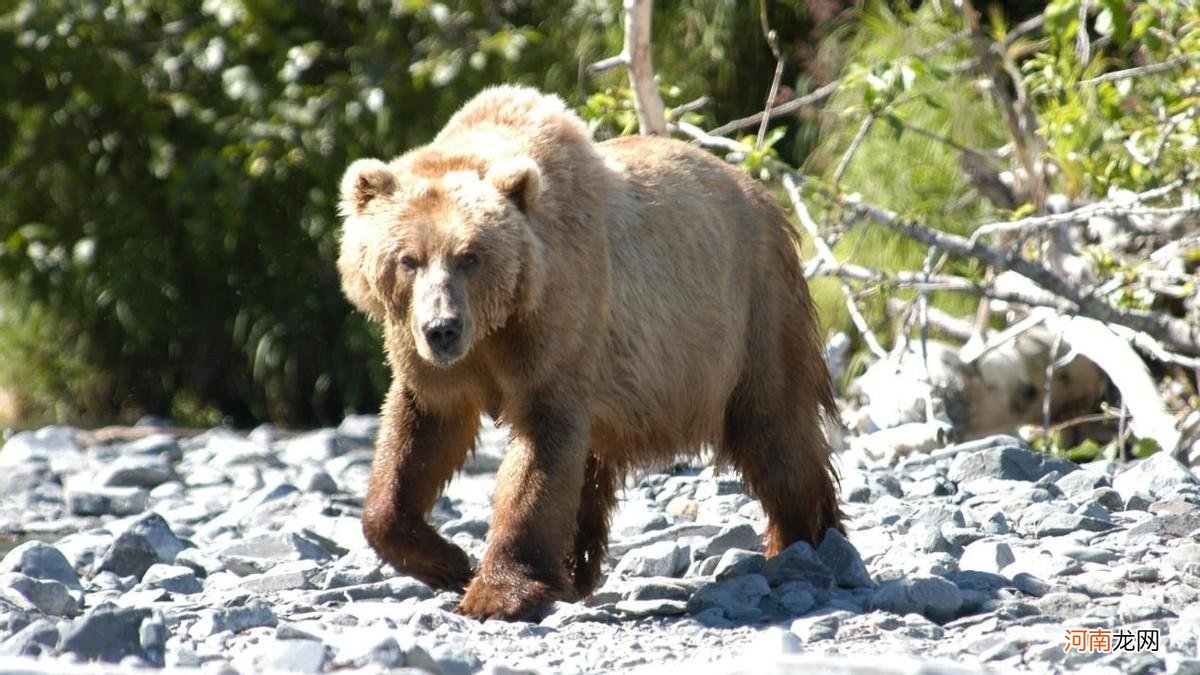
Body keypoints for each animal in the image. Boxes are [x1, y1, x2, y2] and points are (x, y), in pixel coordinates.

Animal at [338, 85, 840, 619]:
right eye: (408, 259)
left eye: (469, 256)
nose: (442, 329)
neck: (495, 326)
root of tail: (763, 194)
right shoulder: (428, 357)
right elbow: (421, 434)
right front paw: (446, 559)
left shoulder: (559, 322)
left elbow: (539, 448)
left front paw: (496, 592)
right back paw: (572, 572)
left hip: (752, 312)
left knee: (775, 429)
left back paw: (805, 540)